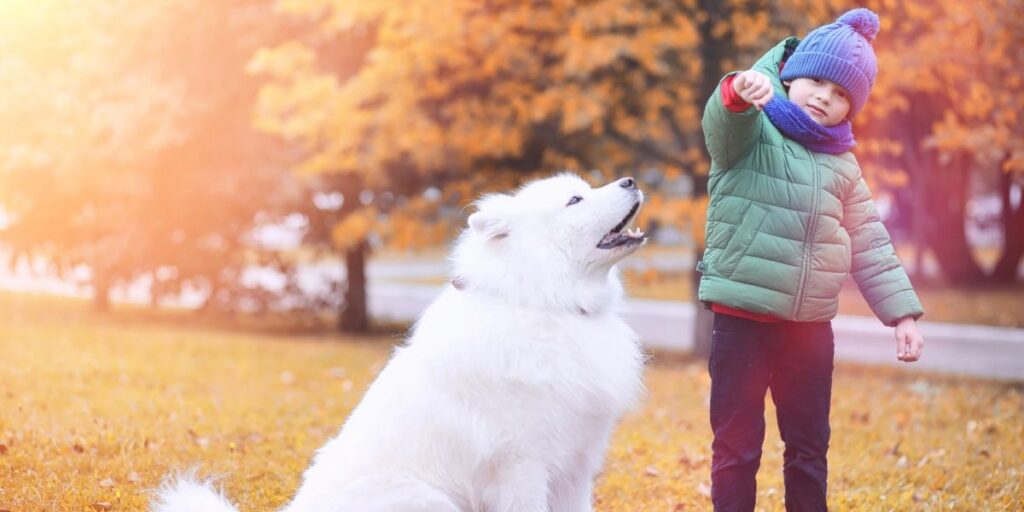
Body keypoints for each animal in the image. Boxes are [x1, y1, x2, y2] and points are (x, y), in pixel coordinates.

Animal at [151, 174, 647, 509]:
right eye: (575, 199)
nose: (631, 179)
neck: (545, 303)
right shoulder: (521, 466)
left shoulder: (575, 466)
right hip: (429, 499)